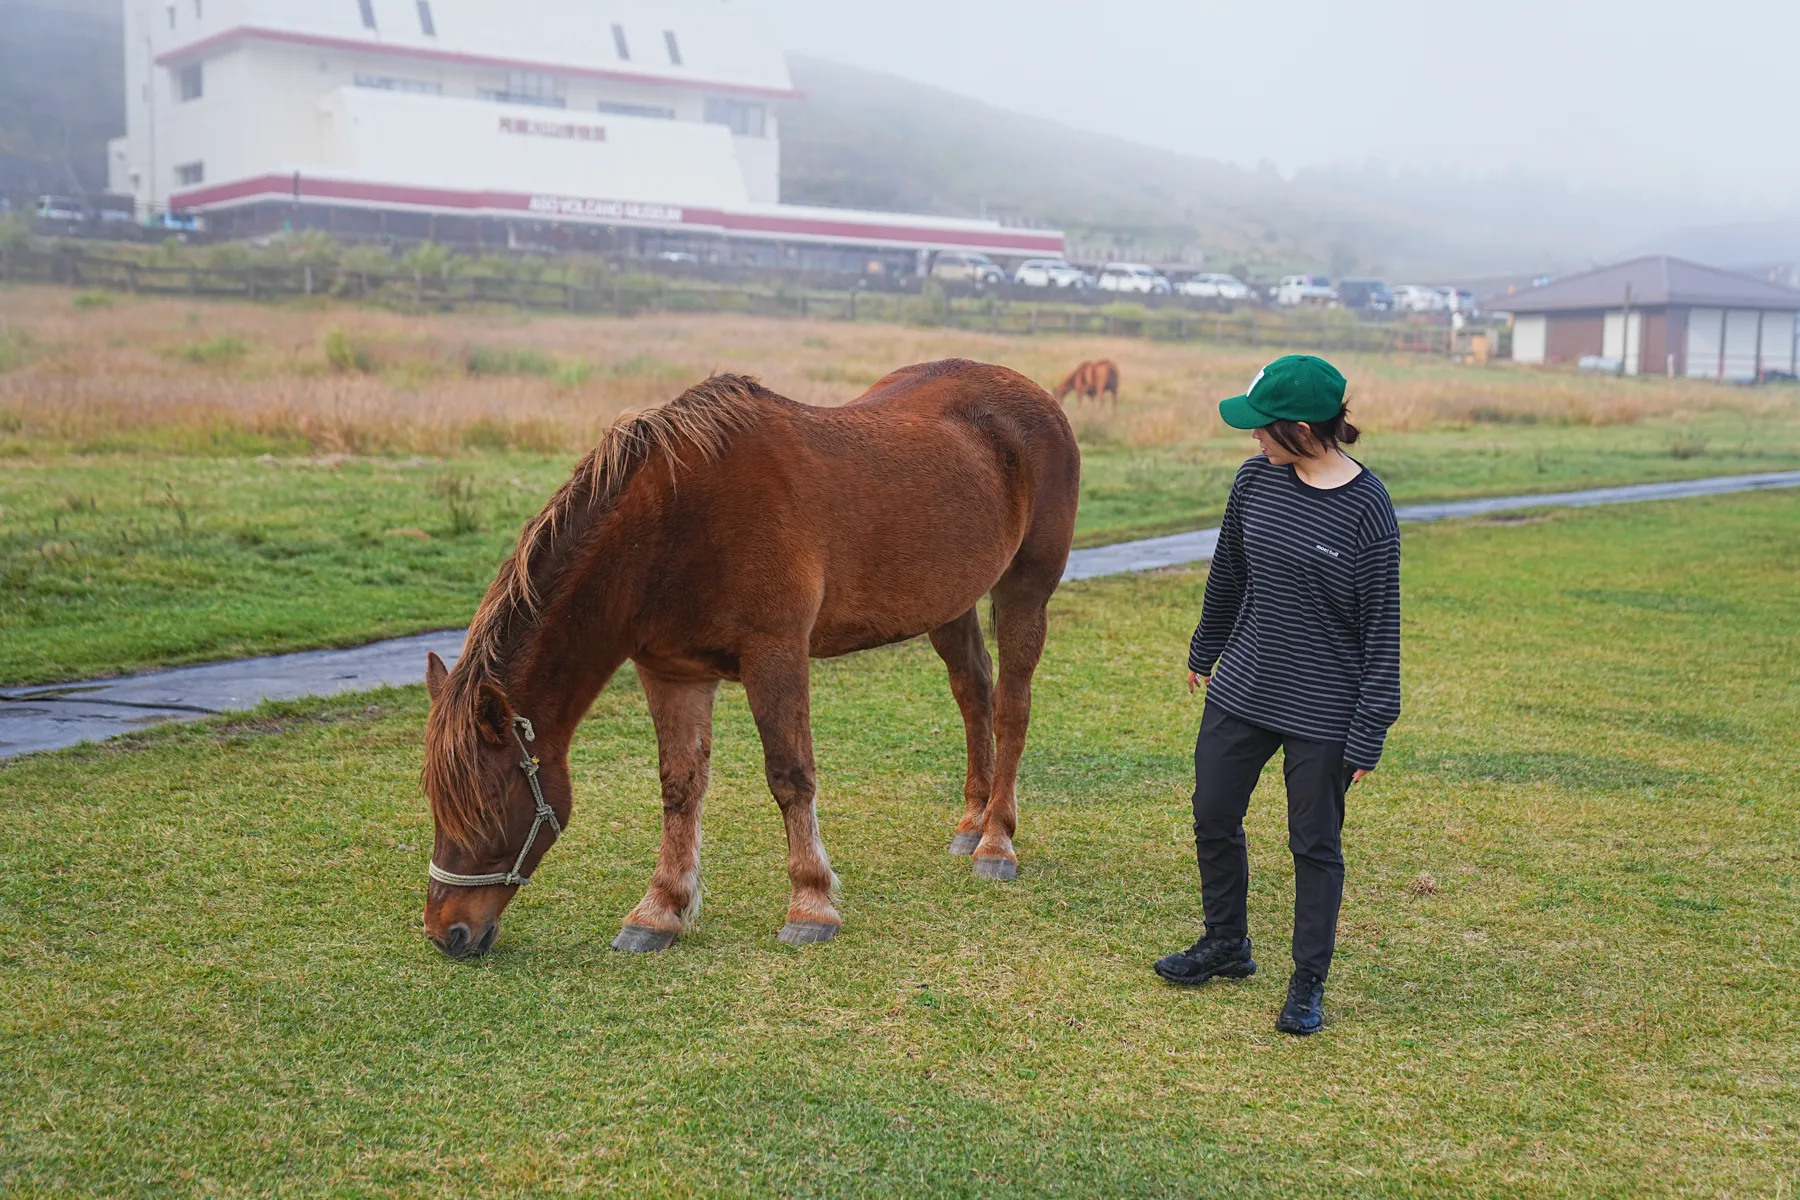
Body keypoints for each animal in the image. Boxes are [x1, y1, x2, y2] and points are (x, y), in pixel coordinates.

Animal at [421, 361, 1080, 964]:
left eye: (486, 807)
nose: (445, 933)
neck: (674, 524)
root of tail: (1035, 396)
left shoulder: (776, 653)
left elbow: (790, 776)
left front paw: (811, 903)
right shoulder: (672, 672)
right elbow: (680, 786)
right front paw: (660, 910)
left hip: (1025, 591)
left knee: (1012, 707)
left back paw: (996, 841)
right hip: (951, 603)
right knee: (974, 693)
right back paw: (971, 823)